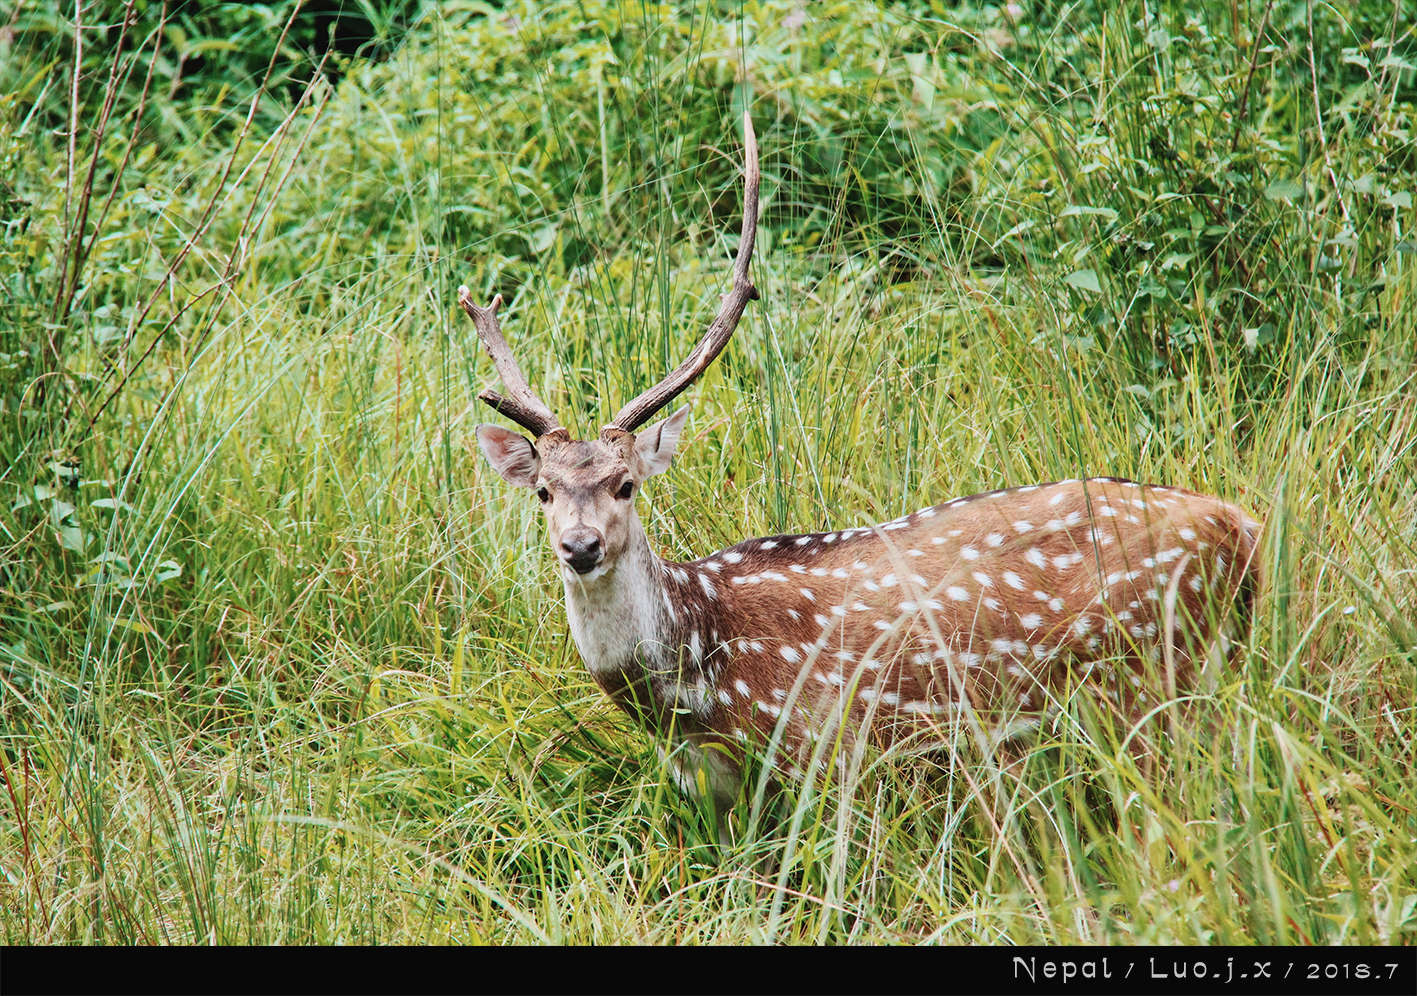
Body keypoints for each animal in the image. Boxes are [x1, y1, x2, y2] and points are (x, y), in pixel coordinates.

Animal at [464, 111, 1263, 810]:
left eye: (626, 484)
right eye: (543, 491)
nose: (580, 547)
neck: (697, 687)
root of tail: (1243, 527)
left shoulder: (833, 752)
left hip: (1154, 680)